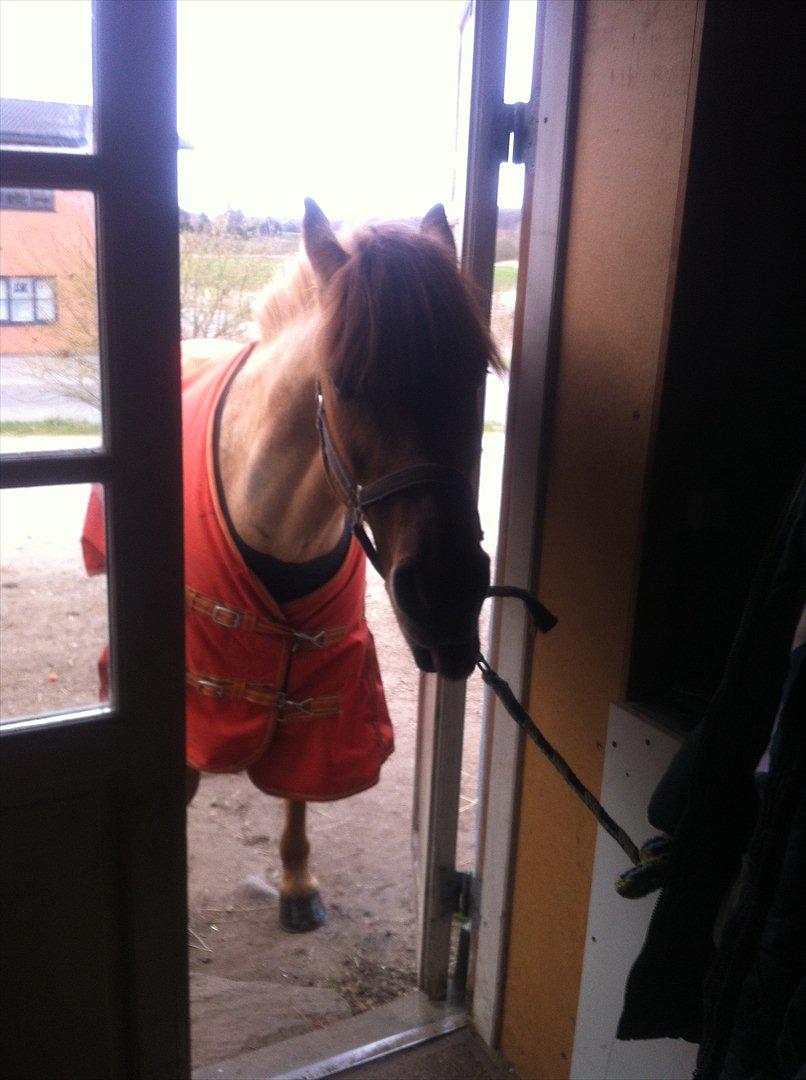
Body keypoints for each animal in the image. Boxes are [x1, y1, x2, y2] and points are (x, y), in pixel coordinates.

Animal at [83, 199, 500, 932]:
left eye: (474, 373)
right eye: (349, 384)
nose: (447, 593)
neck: (280, 520)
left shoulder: (322, 667)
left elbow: (301, 778)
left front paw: (298, 879)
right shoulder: (193, 686)